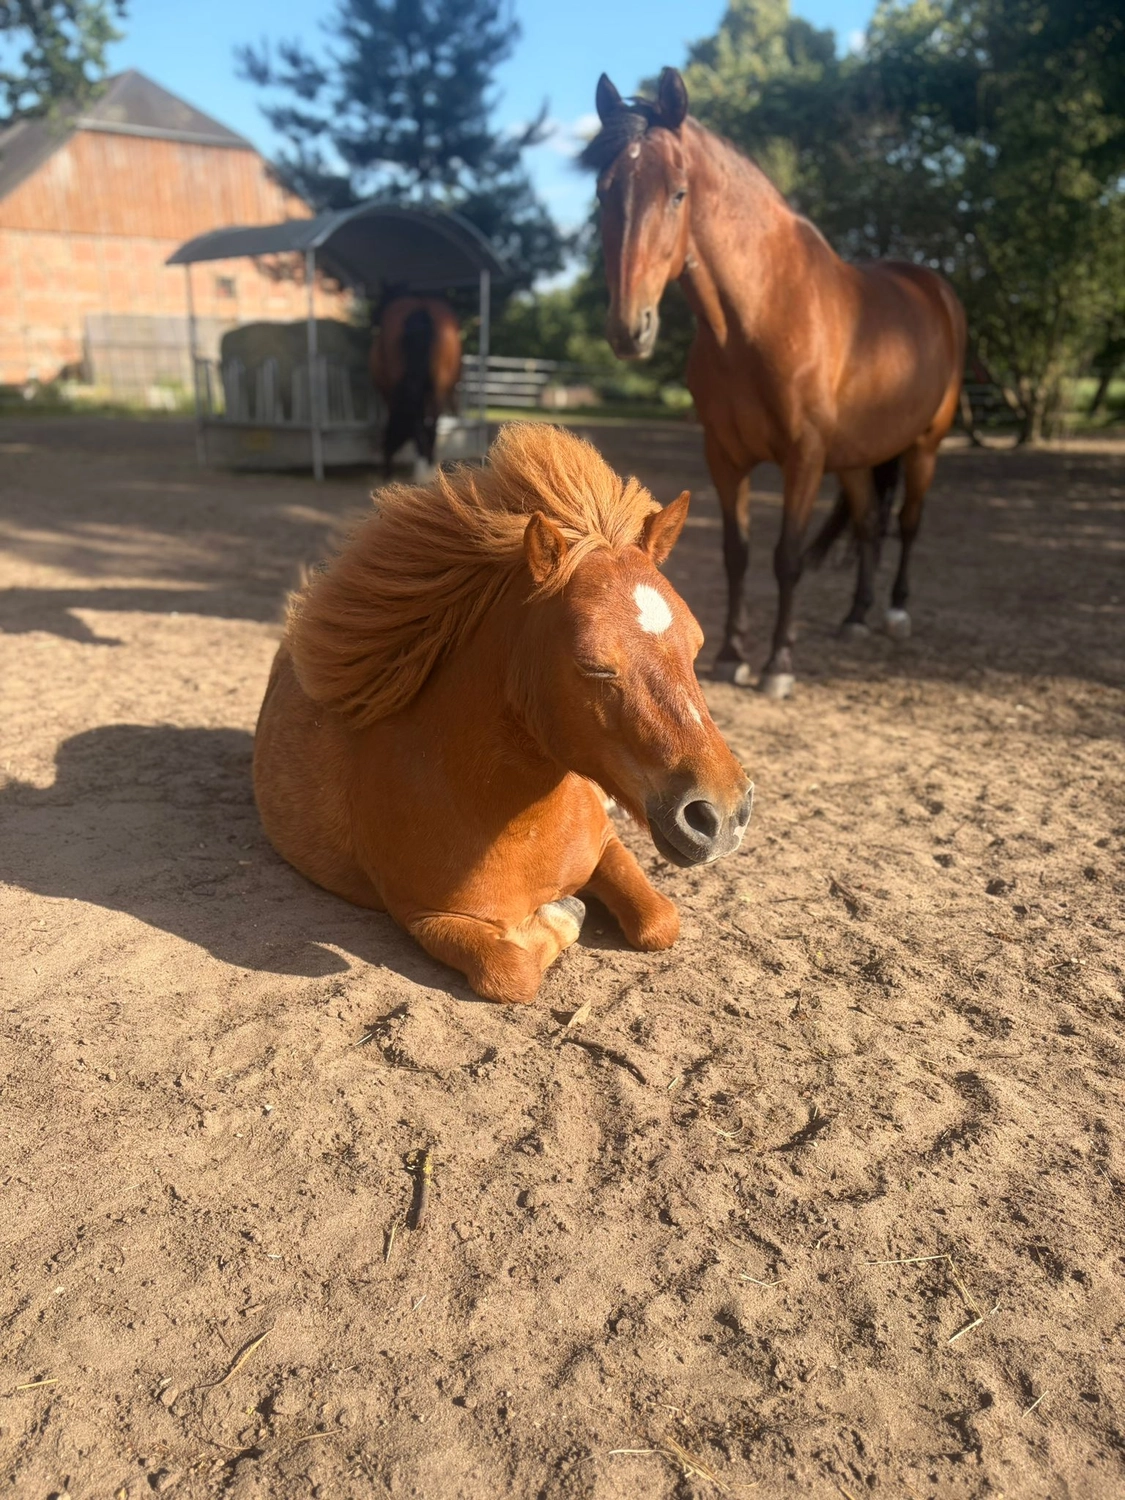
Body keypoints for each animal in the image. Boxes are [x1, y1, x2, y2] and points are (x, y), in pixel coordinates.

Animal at [253, 422, 752, 1004]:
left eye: (697, 646)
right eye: (594, 665)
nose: (722, 815)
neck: (518, 826)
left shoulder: (608, 848)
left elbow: (660, 922)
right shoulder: (426, 917)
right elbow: (512, 971)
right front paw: (563, 912)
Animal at [369, 294, 462, 478]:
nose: (385, 468)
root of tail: (421, 307)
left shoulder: (390, 395)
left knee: (420, 422)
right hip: (438, 387)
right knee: (432, 424)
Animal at [583, 68, 967, 697]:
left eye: (678, 193)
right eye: (603, 191)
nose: (627, 328)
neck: (758, 317)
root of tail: (933, 289)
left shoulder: (803, 458)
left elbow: (787, 556)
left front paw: (778, 665)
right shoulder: (724, 457)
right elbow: (735, 554)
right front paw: (730, 656)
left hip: (924, 447)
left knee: (908, 525)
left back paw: (895, 613)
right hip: (857, 458)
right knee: (869, 525)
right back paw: (855, 617)